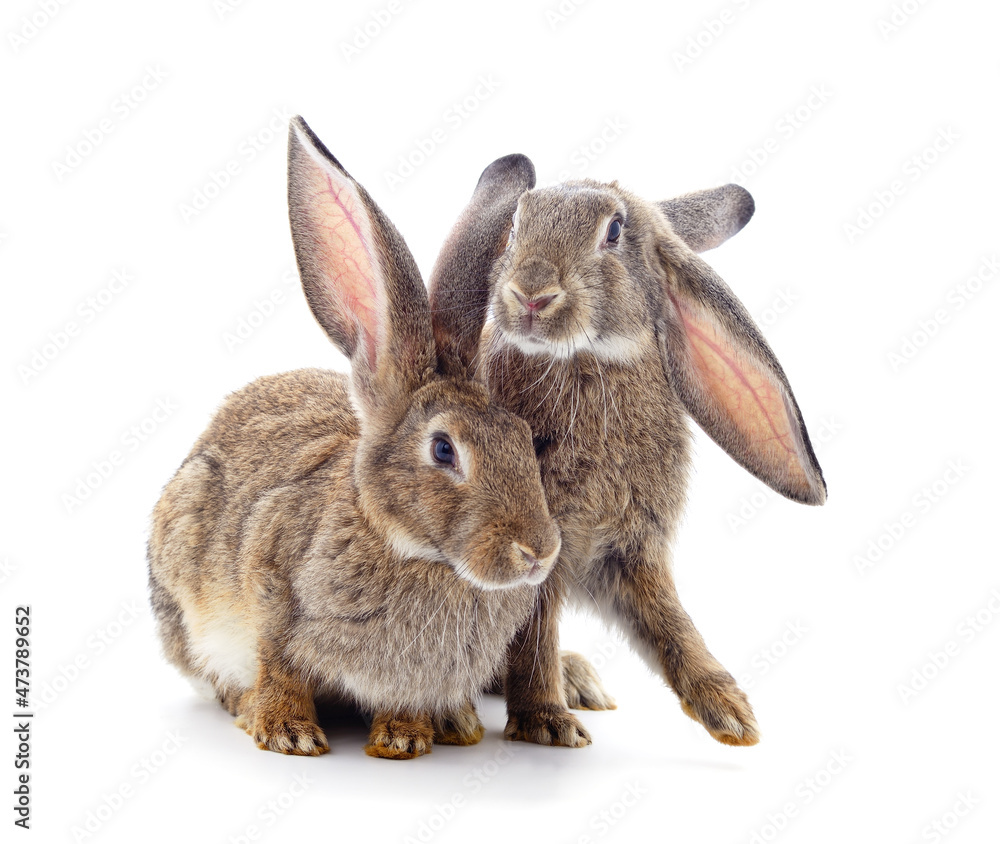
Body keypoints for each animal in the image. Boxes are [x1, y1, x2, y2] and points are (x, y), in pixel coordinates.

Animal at [147, 117, 564, 760]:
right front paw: (287, 733)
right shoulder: (269, 587)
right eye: (443, 449)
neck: (411, 549)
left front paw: (404, 739)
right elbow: (280, 666)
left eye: (525, 439)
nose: (538, 552)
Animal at [428, 162, 826, 748]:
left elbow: (669, 621)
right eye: (517, 224)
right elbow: (532, 640)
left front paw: (730, 714)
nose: (530, 294)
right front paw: (547, 722)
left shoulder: (632, 549)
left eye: (614, 231)